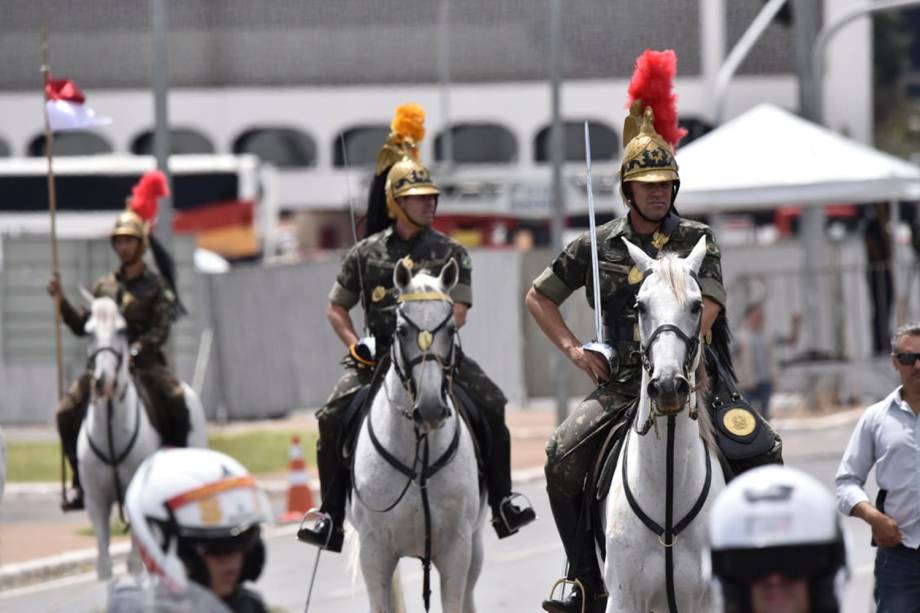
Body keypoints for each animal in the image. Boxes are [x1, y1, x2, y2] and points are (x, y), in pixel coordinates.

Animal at [77, 294, 207, 576]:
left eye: (122, 330)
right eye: (88, 331)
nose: (103, 381)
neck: (111, 432)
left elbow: (136, 562)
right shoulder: (95, 502)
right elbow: (104, 563)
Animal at [348, 258, 486, 612]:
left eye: (450, 329)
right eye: (401, 330)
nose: (431, 409)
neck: (418, 450)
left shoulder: (457, 549)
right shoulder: (374, 553)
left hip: (476, 546)